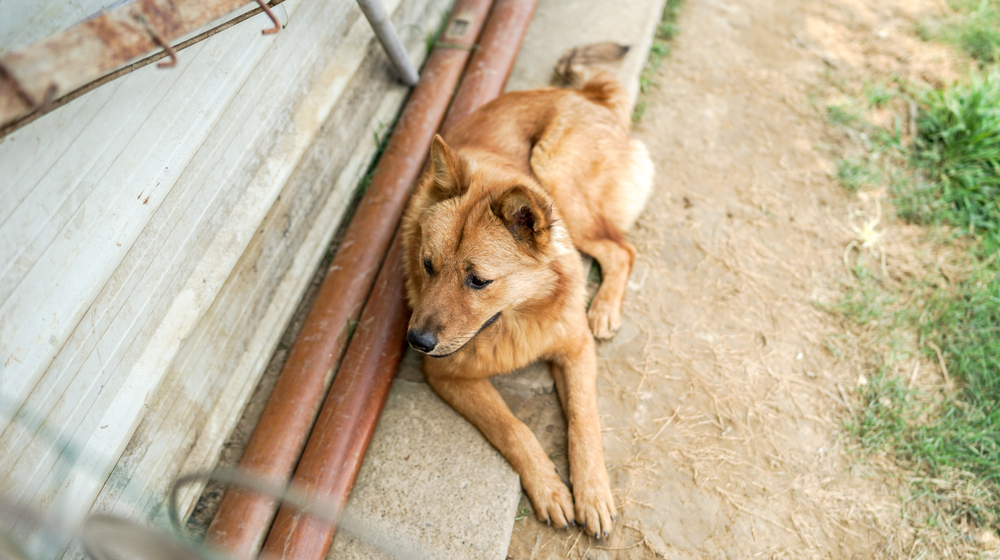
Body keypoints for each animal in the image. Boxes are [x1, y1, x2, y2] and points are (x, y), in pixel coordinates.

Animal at [402, 44, 652, 540]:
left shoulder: (574, 348)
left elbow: (584, 420)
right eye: (427, 265)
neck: (515, 317)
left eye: (478, 280)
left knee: (621, 249)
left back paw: (603, 309)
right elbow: (513, 428)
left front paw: (592, 490)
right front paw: (551, 488)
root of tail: (585, 94)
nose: (416, 342)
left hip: (556, 175)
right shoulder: (447, 376)